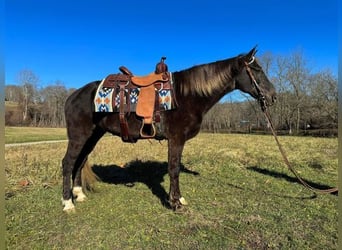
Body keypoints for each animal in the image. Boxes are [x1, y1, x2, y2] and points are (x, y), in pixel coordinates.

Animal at [60, 46, 276, 211]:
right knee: (68, 163)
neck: (186, 95)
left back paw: (79, 194)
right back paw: (68, 202)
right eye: (256, 69)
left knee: (80, 161)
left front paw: (178, 199)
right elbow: (174, 169)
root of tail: (72, 96)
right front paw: (175, 203)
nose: (273, 96)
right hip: (79, 136)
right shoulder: (176, 139)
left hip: (93, 135)